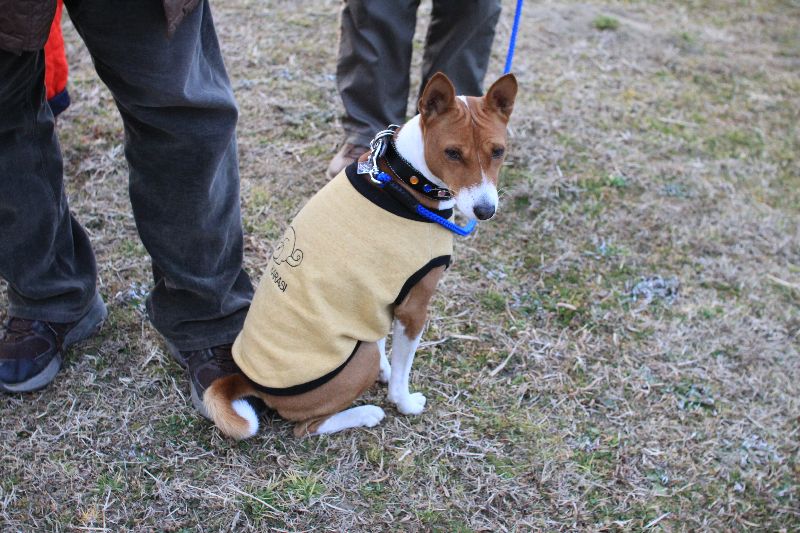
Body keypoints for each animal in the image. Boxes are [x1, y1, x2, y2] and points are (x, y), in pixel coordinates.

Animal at [205, 72, 517, 438]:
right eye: (452, 153)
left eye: (498, 151)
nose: (485, 210)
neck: (405, 176)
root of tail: (251, 381)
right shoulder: (414, 308)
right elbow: (402, 372)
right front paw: (404, 402)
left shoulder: (379, 297)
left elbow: (380, 334)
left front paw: (387, 369)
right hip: (355, 358)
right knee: (306, 427)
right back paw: (367, 413)